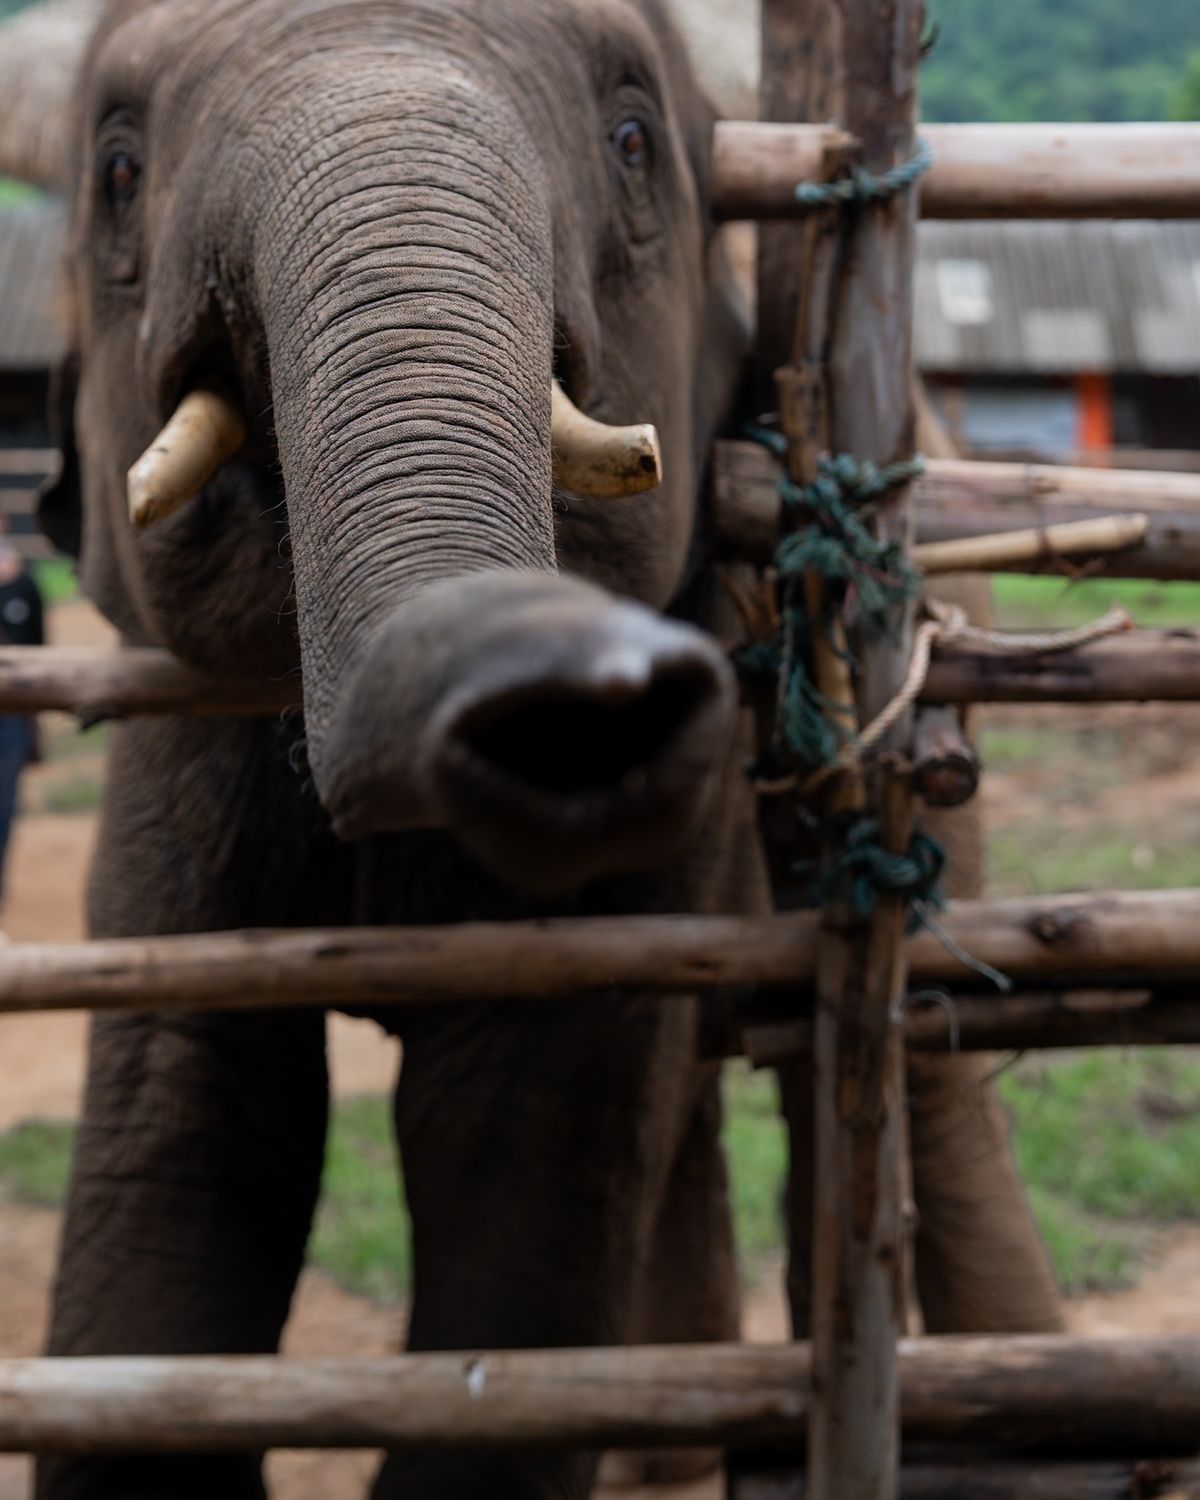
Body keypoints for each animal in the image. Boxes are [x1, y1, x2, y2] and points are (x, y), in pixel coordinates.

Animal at [0, 1, 1060, 1497]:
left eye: (632, 138)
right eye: (113, 168)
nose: (595, 694)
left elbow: (524, 1136)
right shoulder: (173, 768)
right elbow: (188, 1120)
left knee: (909, 1061)